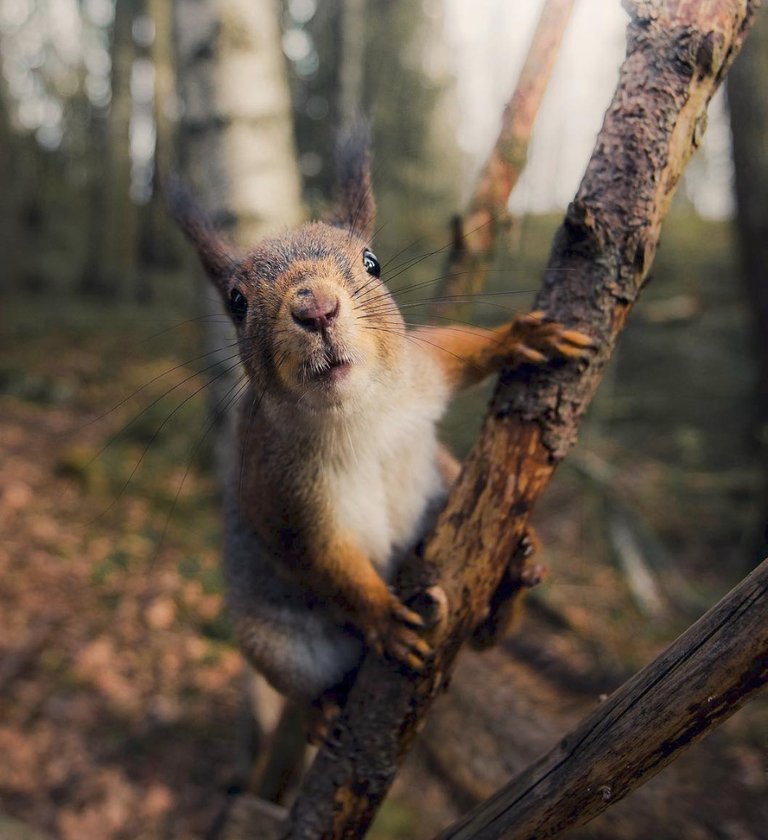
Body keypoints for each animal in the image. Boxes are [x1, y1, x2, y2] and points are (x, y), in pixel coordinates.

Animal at [166, 130, 588, 728]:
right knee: (305, 677)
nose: (316, 308)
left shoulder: (421, 369)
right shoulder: (280, 490)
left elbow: (461, 348)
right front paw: (384, 618)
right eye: (236, 301)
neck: (358, 411)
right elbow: (326, 563)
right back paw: (325, 707)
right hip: (277, 644)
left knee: (486, 634)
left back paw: (515, 570)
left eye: (372, 263)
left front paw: (519, 338)